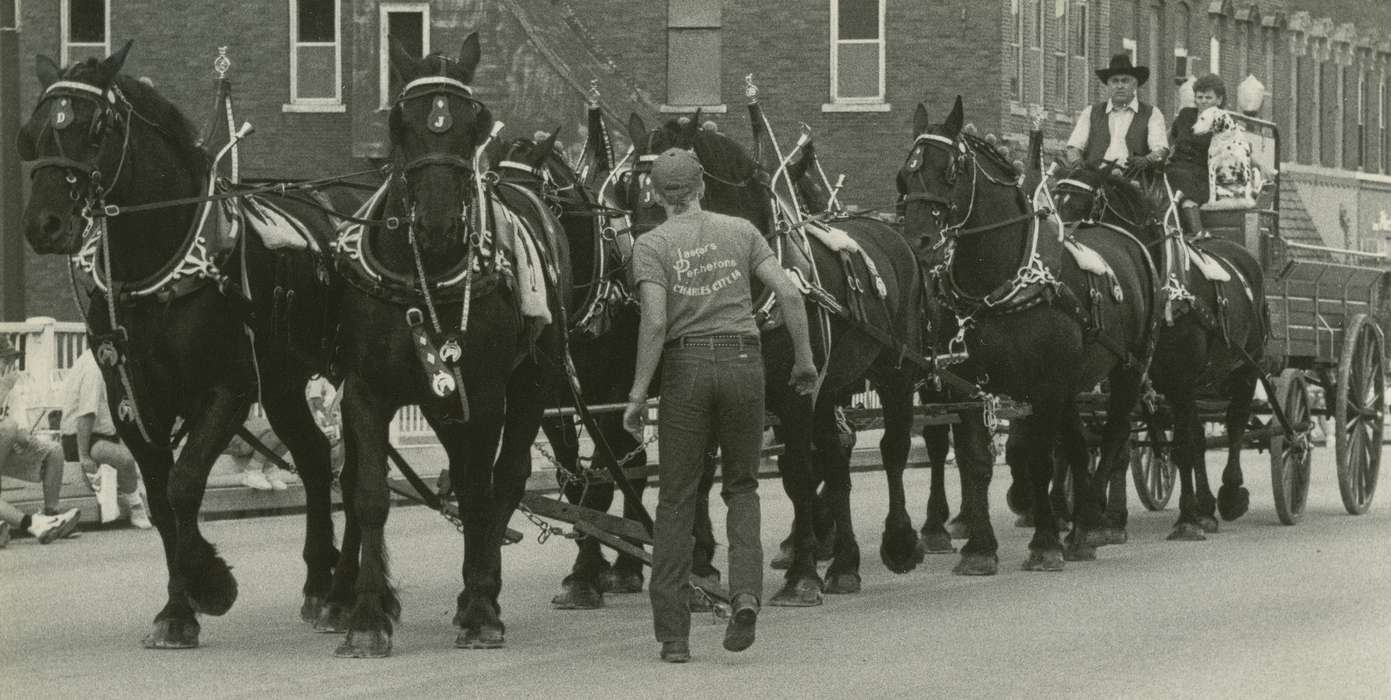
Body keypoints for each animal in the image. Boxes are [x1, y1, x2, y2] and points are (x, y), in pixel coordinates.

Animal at [18, 43, 342, 648]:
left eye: (96, 129)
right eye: (33, 134)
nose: (43, 224)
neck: (160, 263)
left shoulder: (228, 387)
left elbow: (184, 484)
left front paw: (211, 584)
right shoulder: (132, 400)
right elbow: (162, 498)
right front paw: (178, 609)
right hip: (282, 383)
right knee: (314, 458)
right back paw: (319, 582)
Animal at [895, 98, 1157, 570]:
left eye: (950, 172)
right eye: (905, 176)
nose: (918, 241)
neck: (1001, 278)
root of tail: (1128, 238)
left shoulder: (1044, 385)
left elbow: (1038, 458)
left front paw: (1045, 542)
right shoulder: (969, 385)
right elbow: (976, 460)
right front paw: (980, 548)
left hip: (1128, 370)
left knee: (1113, 441)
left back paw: (1093, 522)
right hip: (1073, 381)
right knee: (1078, 445)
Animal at [1051, 165, 1274, 542]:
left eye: (1079, 205)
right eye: (1055, 200)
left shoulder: (1178, 377)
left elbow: (1183, 444)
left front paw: (1187, 518)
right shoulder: (1136, 375)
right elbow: (1131, 440)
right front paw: (1113, 518)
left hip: (1246, 365)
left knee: (1235, 423)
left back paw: (1230, 494)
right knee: (1200, 432)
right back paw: (1207, 505)